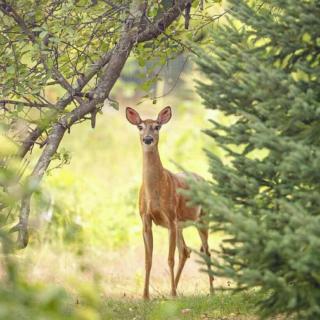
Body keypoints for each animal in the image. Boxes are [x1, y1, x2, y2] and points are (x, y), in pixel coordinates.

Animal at [126, 106, 214, 298]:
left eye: (157, 126)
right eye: (140, 126)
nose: (148, 139)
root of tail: (203, 180)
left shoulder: (171, 217)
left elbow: (169, 259)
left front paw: (172, 294)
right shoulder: (145, 219)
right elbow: (148, 259)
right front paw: (145, 296)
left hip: (202, 218)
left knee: (206, 251)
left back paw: (211, 290)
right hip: (181, 224)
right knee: (185, 250)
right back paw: (173, 289)